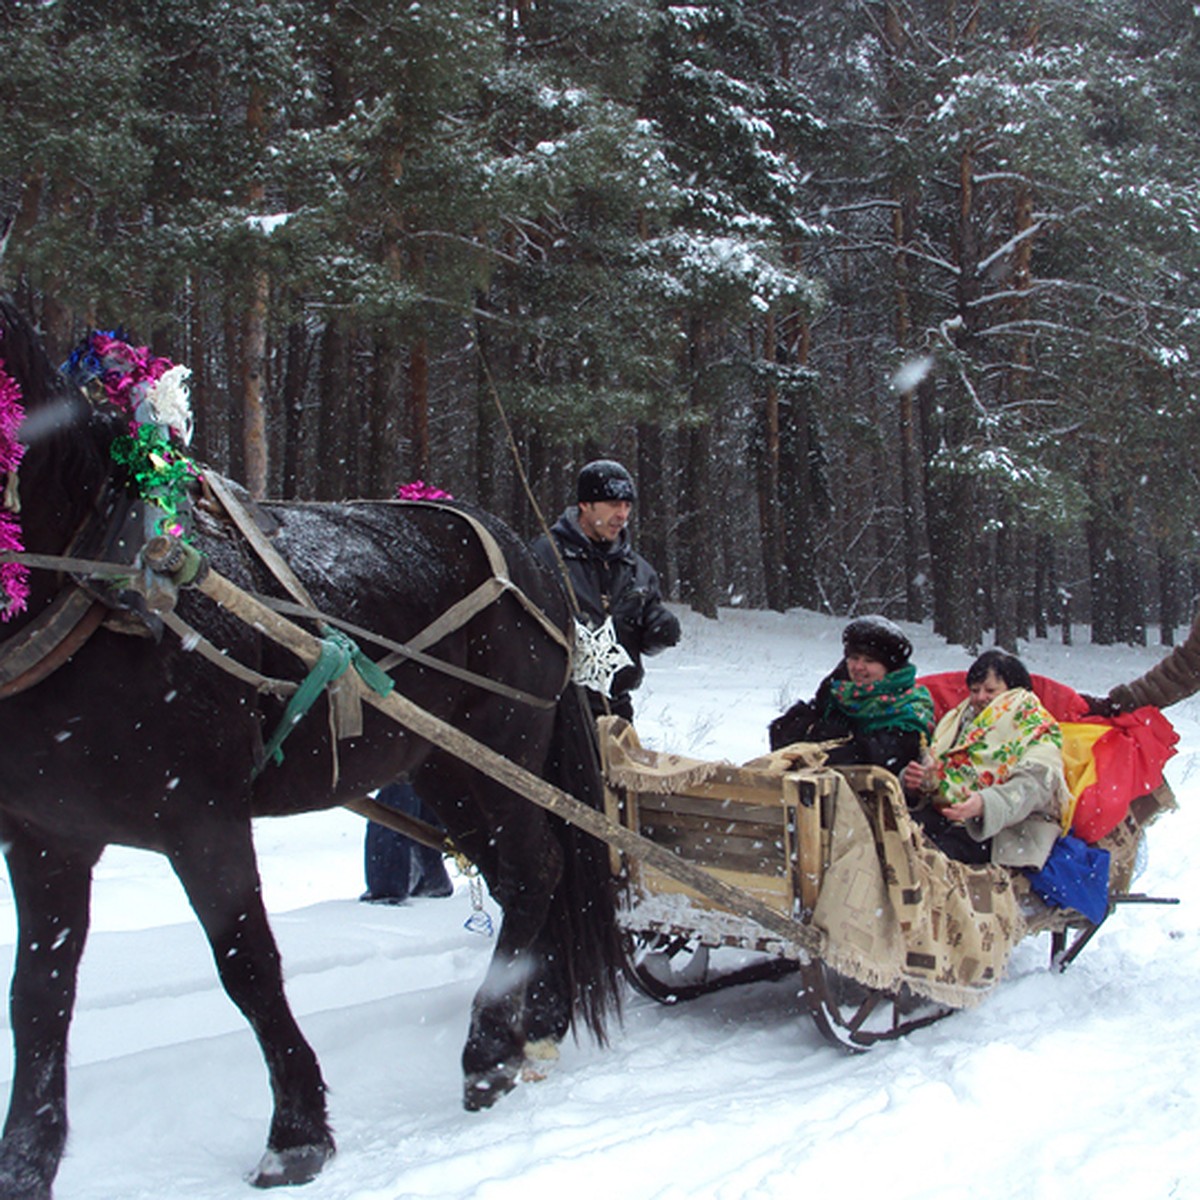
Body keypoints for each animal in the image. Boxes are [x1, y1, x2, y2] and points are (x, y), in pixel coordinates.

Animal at [0, 295, 624, 1195]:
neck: (102, 572)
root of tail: (527, 557)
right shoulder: (45, 835)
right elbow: (38, 996)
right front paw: (25, 1163)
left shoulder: (203, 819)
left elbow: (248, 965)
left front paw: (296, 1131)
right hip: (447, 773)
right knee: (522, 878)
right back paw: (532, 1023)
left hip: (500, 748)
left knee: (536, 867)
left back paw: (487, 1050)